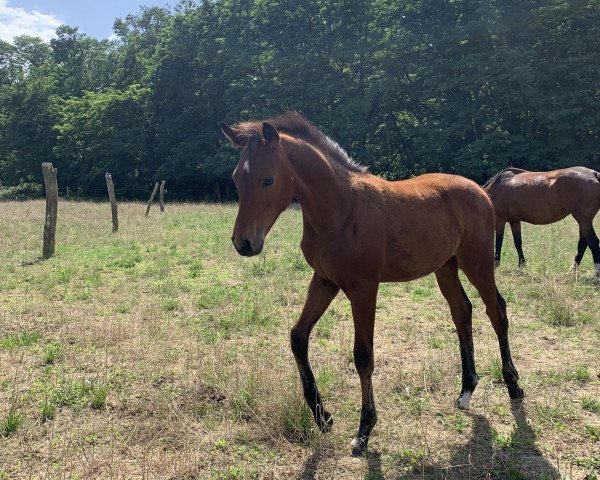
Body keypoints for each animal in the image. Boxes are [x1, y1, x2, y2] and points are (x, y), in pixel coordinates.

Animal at [218, 113, 524, 458]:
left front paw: (364, 432)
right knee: (462, 312)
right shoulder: (324, 281)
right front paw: (322, 416)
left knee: (496, 311)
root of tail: (481, 191)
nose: (244, 243)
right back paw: (466, 391)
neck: (341, 210)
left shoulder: (363, 289)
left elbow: (363, 355)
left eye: (268, 180)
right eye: (236, 179)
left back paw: (513, 386)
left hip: (478, 263)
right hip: (445, 267)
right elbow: (298, 337)